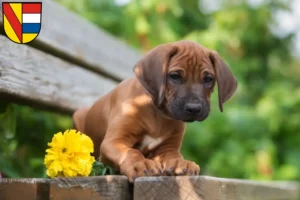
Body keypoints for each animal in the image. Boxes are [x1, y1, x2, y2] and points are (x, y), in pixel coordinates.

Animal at [72, 39, 237, 182]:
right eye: (174, 76)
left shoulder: (168, 149)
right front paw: (141, 164)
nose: (194, 108)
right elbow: (132, 152)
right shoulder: (114, 141)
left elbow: (175, 157)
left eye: (208, 79)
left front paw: (181, 163)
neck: (159, 114)